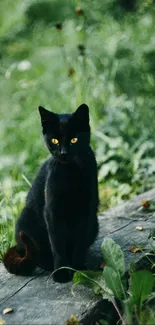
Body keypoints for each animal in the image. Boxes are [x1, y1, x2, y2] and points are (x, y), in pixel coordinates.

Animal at [3, 103, 98, 280]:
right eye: (54, 140)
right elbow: (58, 244)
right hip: (26, 218)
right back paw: (48, 264)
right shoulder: (53, 211)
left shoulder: (86, 211)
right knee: (35, 254)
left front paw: (79, 269)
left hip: (95, 222)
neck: (71, 174)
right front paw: (61, 272)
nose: (63, 153)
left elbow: (79, 243)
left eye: (74, 139)